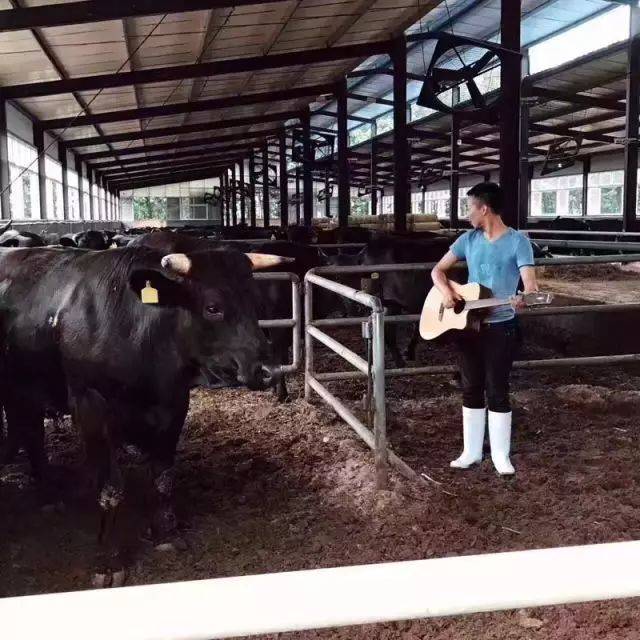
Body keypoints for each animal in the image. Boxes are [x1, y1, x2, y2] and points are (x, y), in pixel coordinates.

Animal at [0, 240, 284, 584]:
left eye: (256, 302)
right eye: (213, 307)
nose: (269, 371)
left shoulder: (174, 403)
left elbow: (162, 476)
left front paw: (166, 532)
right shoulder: (91, 405)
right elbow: (110, 488)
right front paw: (108, 561)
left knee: (29, 431)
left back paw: (47, 491)